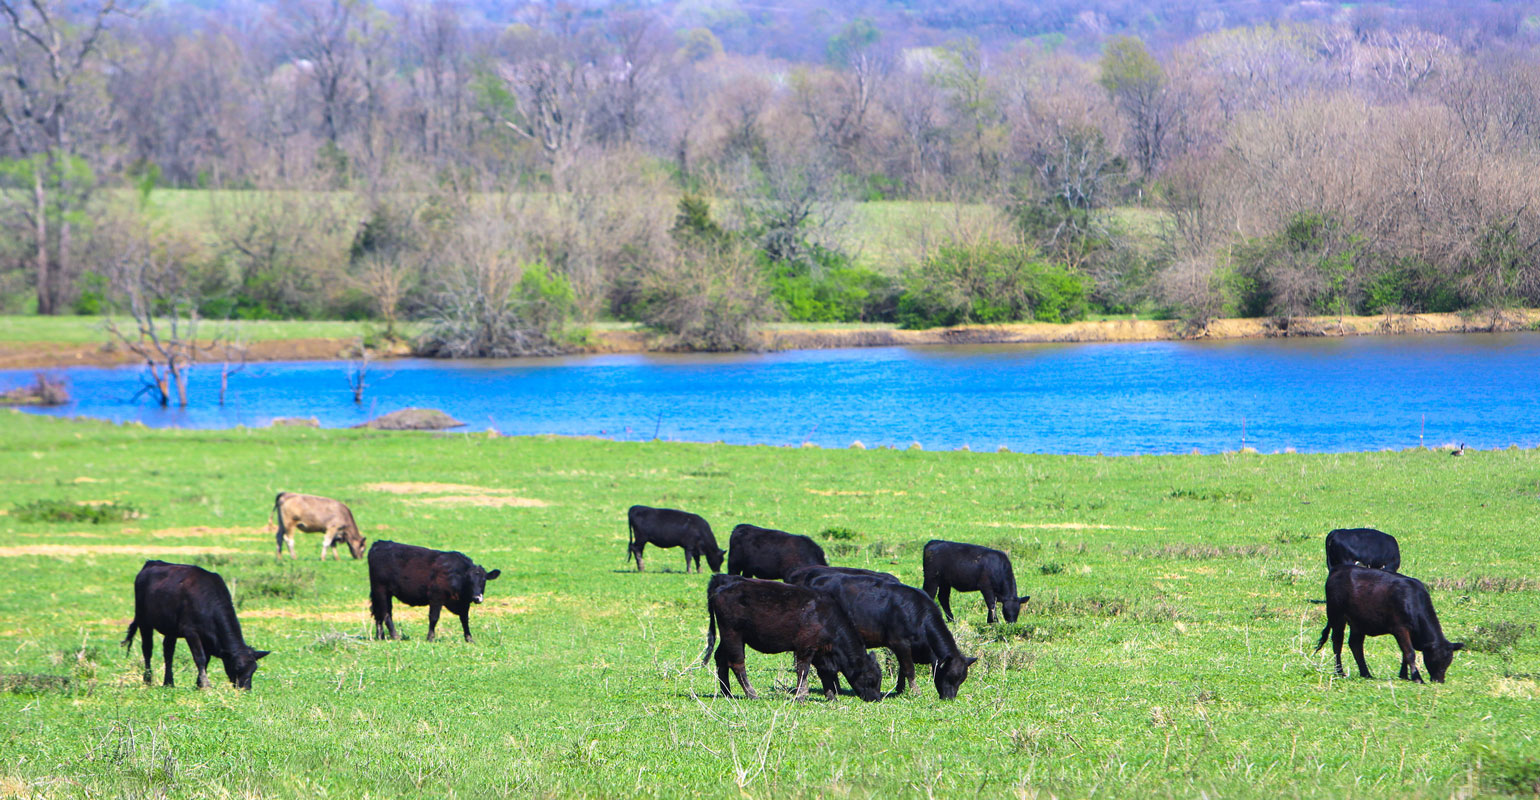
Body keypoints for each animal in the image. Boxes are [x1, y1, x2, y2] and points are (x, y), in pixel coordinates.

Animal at [118, 564, 269, 687]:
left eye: (254, 669)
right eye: (238, 667)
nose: (245, 688)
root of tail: (151, 563)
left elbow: (206, 660)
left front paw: (199, 683)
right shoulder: (191, 632)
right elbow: (200, 658)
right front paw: (205, 685)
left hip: (170, 629)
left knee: (168, 652)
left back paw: (168, 682)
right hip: (144, 621)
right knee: (147, 649)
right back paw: (148, 680)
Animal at [366, 539, 498, 644]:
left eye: (484, 580)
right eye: (469, 580)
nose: (477, 598)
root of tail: (379, 543)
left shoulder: (464, 603)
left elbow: (464, 619)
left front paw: (469, 638)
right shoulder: (436, 597)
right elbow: (434, 617)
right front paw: (430, 638)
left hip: (381, 592)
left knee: (378, 612)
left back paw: (380, 636)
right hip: (381, 590)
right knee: (386, 613)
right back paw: (395, 636)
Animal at [702, 576, 880, 702]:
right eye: (871, 678)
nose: (876, 698)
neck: (825, 617)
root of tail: (724, 585)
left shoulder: (821, 651)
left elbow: (825, 673)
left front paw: (831, 697)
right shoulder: (805, 647)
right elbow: (803, 671)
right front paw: (801, 697)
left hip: (728, 637)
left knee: (720, 658)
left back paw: (727, 693)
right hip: (733, 634)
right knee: (737, 664)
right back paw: (752, 694)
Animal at [794, 573, 973, 696]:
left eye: (962, 679)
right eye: (950, 676)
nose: (949, 697)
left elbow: (902, 669)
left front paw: (900, 690)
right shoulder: (899, 642)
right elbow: (909, 669)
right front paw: (915, 692)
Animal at [1312, 564, 1466, 681]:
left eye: (1448, 661)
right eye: (1435, 658)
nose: (1439, 680)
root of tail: (1338, 569)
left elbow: (1404, 653)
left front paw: (1404, 675)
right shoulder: (1400, 628)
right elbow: (1409, 652)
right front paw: (1417, 678)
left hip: (1358, 622)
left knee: (1355, 645)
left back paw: (1366, 673)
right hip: (1336, 616)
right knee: (1337, 643)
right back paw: (1340, 672)